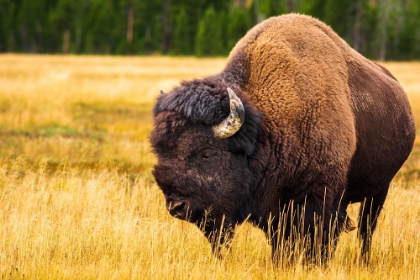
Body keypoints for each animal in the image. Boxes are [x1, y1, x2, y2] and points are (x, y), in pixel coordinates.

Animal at [149, 14, 416, 264]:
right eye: (161, 153)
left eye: (207, 153)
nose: (176, 207)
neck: (266, 127)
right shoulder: (275, 208)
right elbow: (282, 241)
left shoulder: (320, 198)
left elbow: (318, 238)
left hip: (380, 190)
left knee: (365, 230)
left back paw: (363, 260)